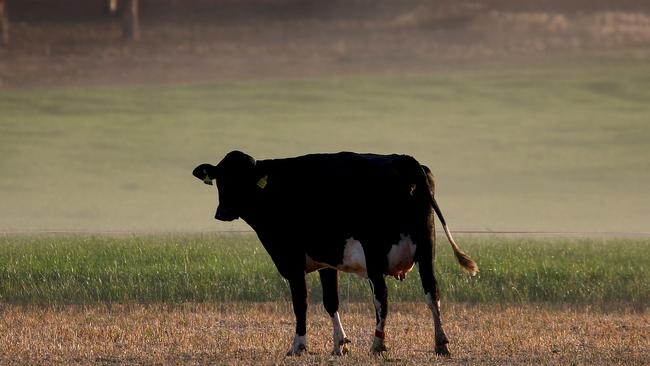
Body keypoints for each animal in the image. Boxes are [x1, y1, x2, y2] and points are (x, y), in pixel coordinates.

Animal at [192, 150, 476, 356]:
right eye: (220, 180)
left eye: (244, 180)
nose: (223, 212)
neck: (273, 191)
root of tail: (406, 159)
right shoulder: (327, 262)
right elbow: (331, 301)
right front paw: (339, 344)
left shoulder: (292, 260)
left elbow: (301, 303)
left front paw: (298, 346)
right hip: (427, 249)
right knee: (432, 292)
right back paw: (440, 343)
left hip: (375, 253)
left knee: (381, 297)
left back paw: (377, 344)